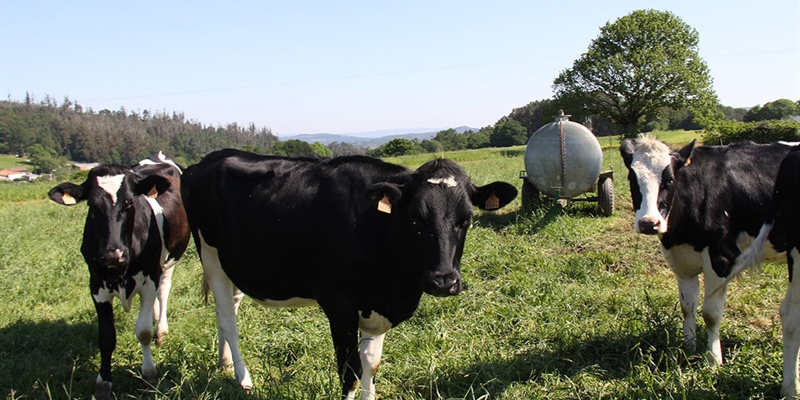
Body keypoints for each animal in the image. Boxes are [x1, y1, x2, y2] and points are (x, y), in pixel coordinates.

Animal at [48, 153, 191, 400]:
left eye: (130, 203)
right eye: (92, 205)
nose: (112, 254)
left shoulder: (149, 279)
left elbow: (143, 331)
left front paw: (149, 373)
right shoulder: (96, 285)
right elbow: (106, 338)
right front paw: (103, 383)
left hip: (168, 262)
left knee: (163, 291)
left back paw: (161, 331)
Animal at [181, 150, 520, 400]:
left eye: (467, 219)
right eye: (415, 219)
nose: (443, 281)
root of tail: (209, 159)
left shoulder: (378, 304)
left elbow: (371, 364)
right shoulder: (339, 303)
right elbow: (351, 371)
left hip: (234, 264)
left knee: (229, 309)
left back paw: (225, 365)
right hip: (210, 254)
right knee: (228, 319)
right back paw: (244, 379)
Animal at [620, 136, 792, 368]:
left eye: (670, 179)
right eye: (632, 177)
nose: (649, 223)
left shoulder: (721, 257)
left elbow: (711, 313)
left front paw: (713, 360)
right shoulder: (682, 261)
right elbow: (687, 307)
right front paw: (688, 348)